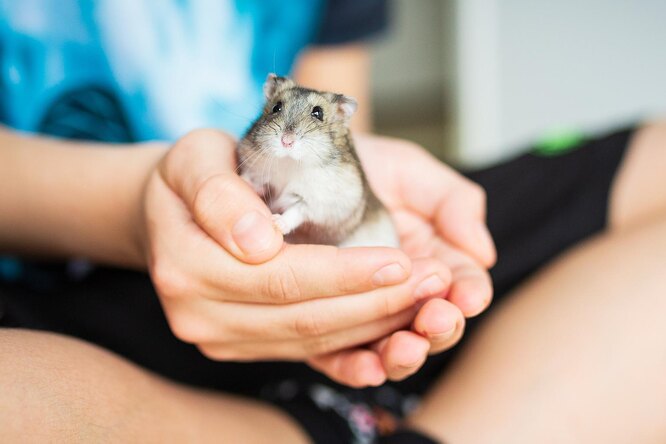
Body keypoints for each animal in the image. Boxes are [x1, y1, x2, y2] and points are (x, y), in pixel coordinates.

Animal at [236, 73, 396, 248]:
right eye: (276, 107)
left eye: (318, 113)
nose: (286, 141)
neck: (289, 162)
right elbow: (256, 181)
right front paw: (242, 180)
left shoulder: (316, 202)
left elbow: (296, 212)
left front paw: (276, 223)